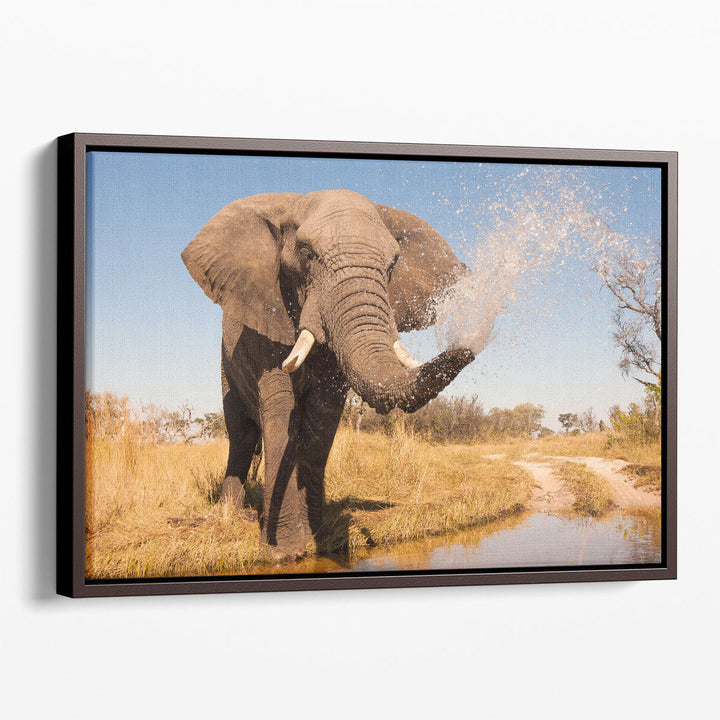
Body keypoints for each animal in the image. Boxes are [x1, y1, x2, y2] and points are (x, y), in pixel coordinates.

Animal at [182, 189, 475, 560]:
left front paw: (318, 536)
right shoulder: (267, 316)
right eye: (307, 255)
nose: (470, 344)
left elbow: (322, 415)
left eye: (393, 264)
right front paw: (284, 551)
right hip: (226, 365)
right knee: (241, 434)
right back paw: (229, 515)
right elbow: (281, 409)